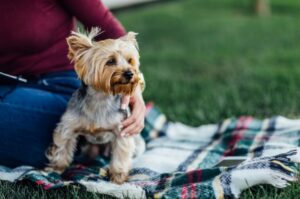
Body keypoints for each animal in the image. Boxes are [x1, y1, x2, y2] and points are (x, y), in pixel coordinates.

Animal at [44, 27, 146, 183]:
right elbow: (62, 147)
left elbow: (121, 155)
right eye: (110, 61)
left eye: (130, 61)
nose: (130, 73)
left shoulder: (122, 131)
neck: (101, 98)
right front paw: (56, 169)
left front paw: (118, 177)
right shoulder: (68, 127)